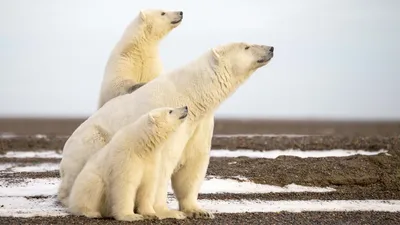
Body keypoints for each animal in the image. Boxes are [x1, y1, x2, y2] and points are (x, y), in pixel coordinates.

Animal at [57, 41, 274, 219]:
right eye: (246, 46)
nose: (271, 48)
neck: (193, 94)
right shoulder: (170, 121)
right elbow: (163, 165)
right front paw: (167, 212)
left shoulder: (199, 124)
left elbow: (193, 163)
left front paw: (198, 211)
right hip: (91, 141)